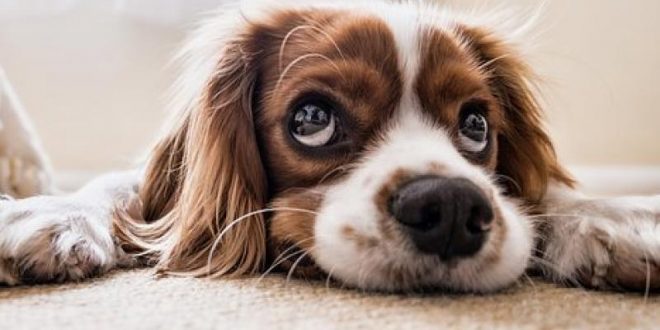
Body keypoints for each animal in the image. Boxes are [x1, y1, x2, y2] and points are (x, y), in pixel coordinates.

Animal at [0, 1, 656, 292]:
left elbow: (547, 193)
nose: (449, 207)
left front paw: (612, 218)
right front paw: (50, 213)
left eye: (476, 125)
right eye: (311, 119)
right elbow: (121, 187)